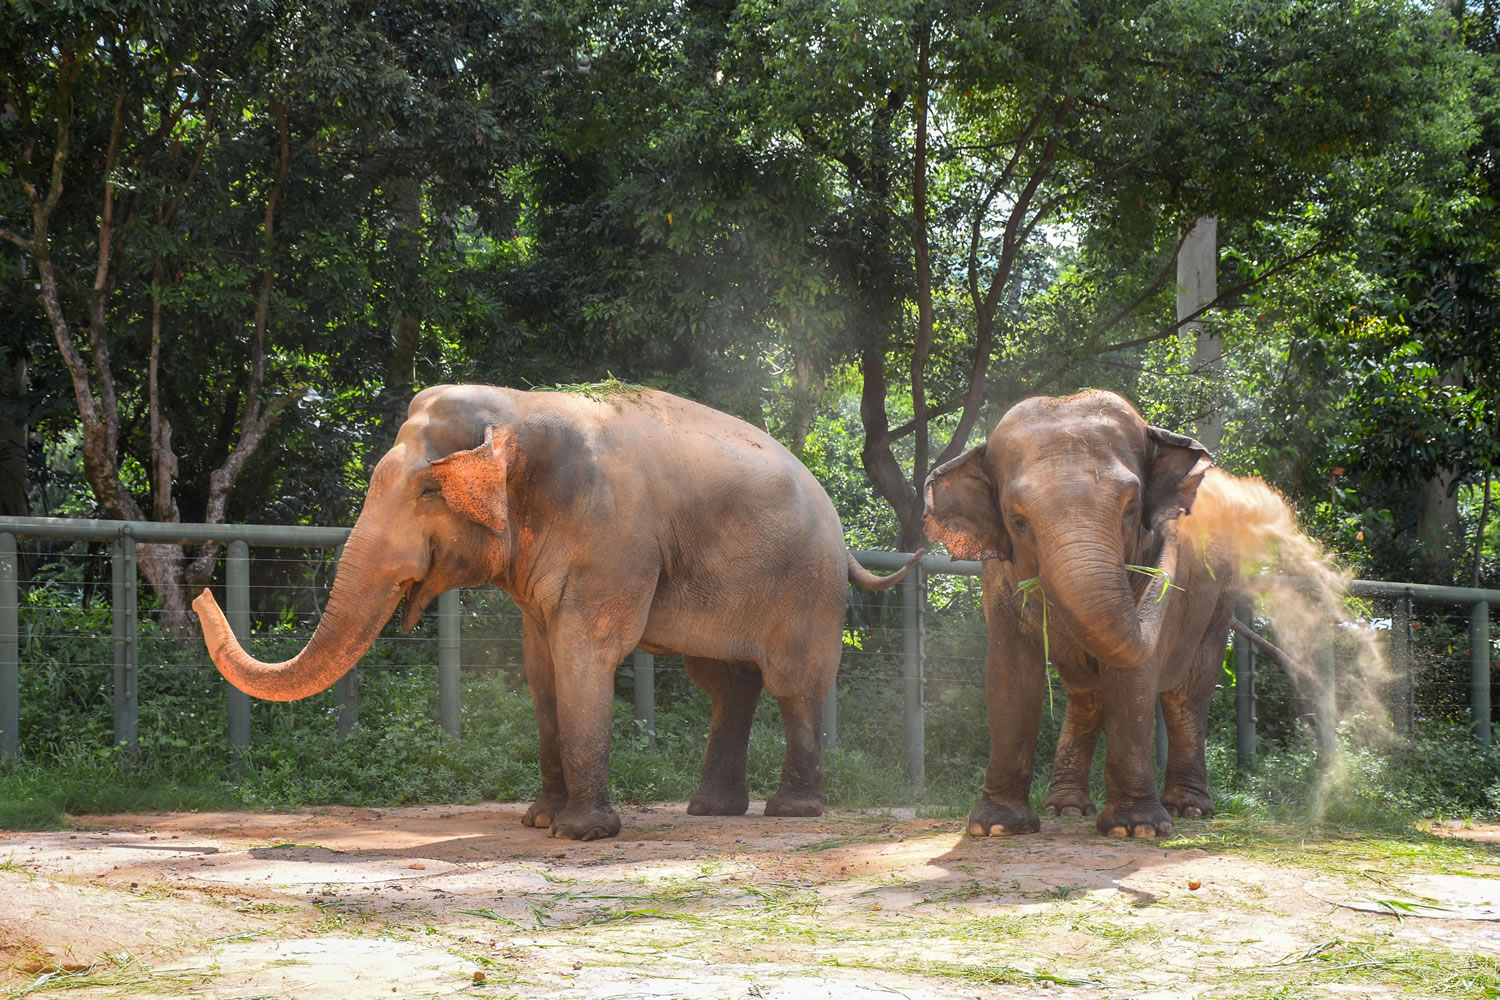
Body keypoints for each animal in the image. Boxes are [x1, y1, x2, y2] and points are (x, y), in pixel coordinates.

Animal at [193, 383, 918, 839]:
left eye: (429, 491)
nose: (199, 589)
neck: (519, 407)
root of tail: (841, 532)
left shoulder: (612, 539)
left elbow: (583, 655)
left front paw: (581, 834)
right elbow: (541, 666)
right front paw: (539, 821)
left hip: (806, 585)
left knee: (792, 683)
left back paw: (791, 813)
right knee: (724, 684)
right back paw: (711, 811)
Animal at [918, 386, 1236, 839]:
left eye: (1131, 507)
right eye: (1017, 520)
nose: (1173, 528)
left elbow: (1133, 673)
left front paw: (1135, 829)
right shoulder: (997, 577)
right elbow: (1010, 672)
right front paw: (996, 828)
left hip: (1219, 604)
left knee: (1186, 694)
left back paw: (1188, 809)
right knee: (1088, 694)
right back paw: (1066, 809)